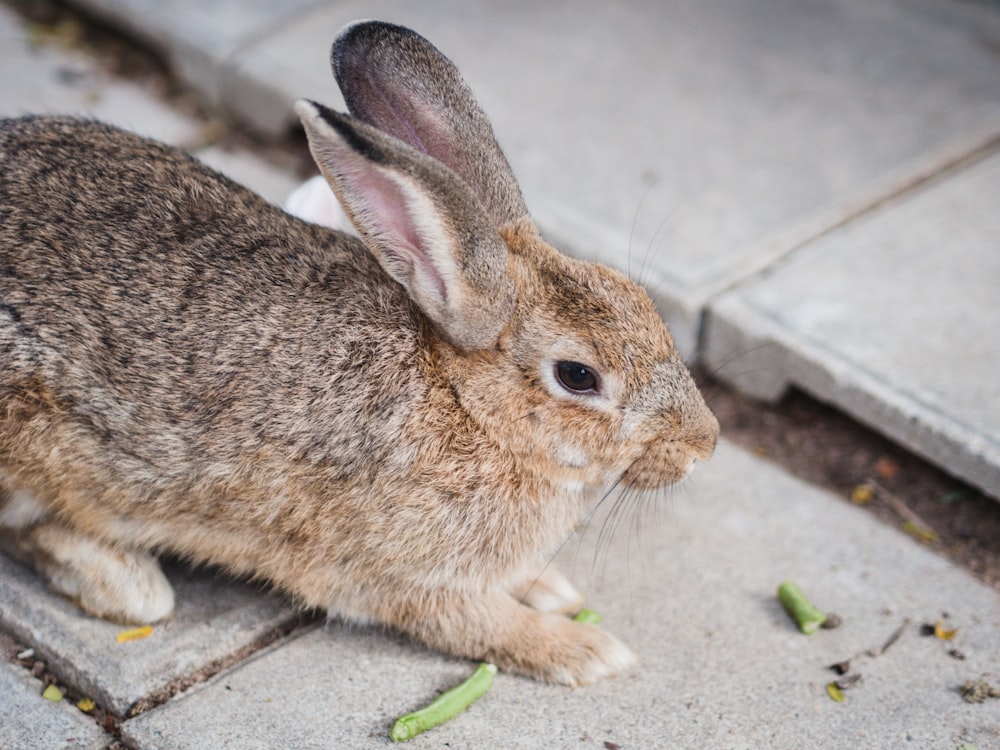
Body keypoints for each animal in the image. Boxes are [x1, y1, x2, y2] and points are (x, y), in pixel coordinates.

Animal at [1, 19, 720, 688]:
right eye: (578, 376)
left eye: (638, 298)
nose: (703, 444)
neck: (468, 407)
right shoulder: (403, 579)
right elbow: (480, 624)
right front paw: (588, 651)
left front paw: (551, 588)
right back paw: (126, 583)